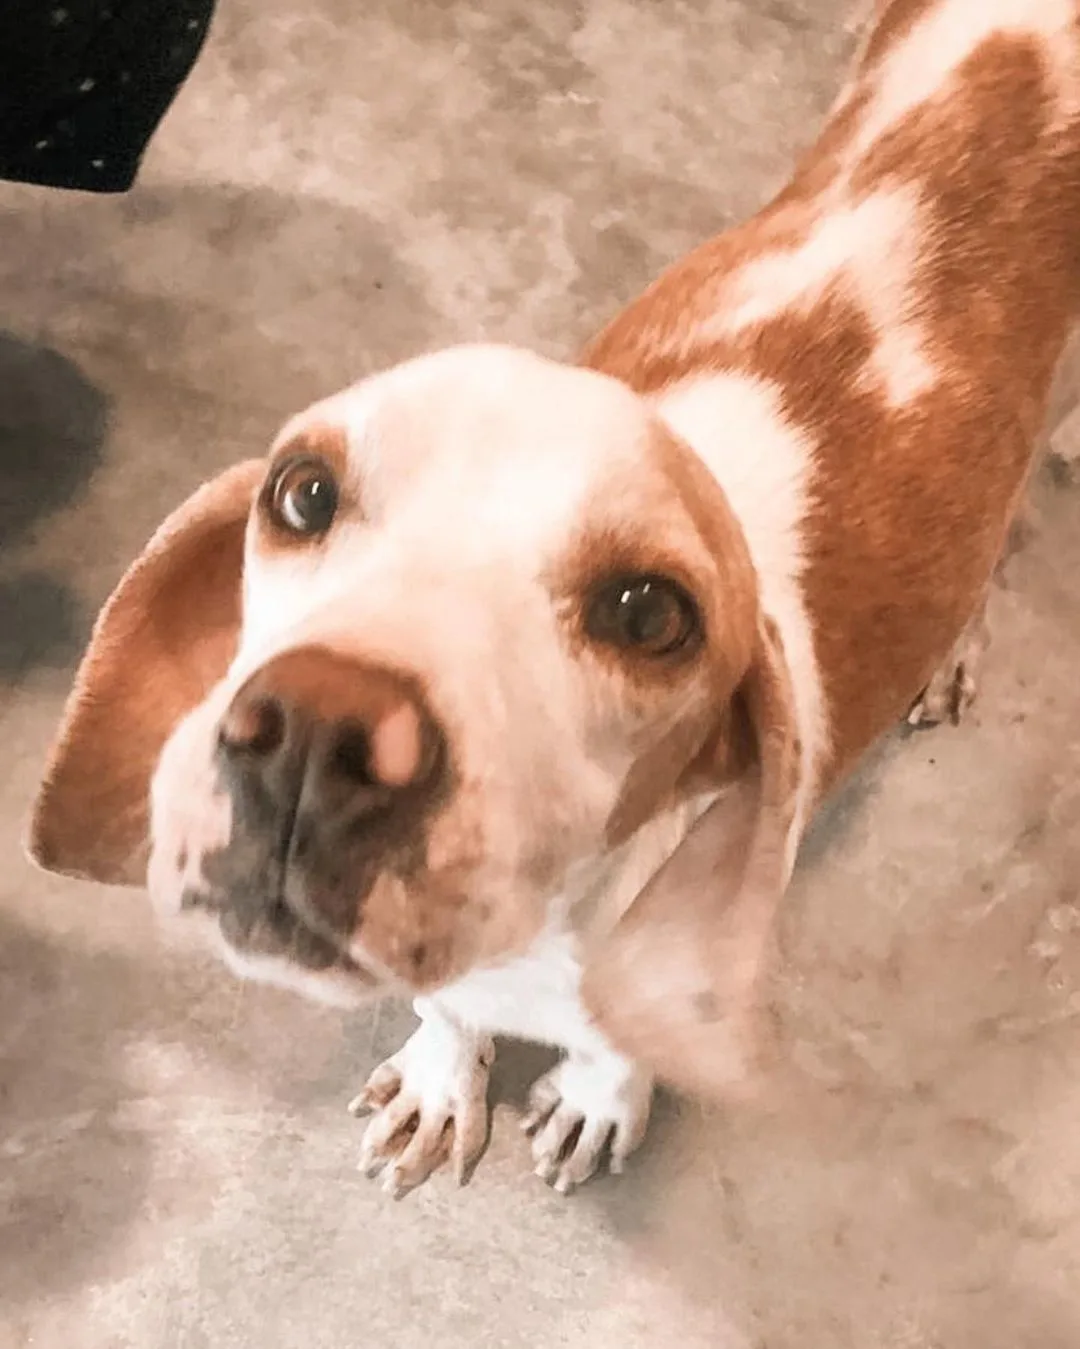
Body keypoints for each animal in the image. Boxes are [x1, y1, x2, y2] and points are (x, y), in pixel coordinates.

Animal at [23, 0, 1078, 1203]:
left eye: (652, 613)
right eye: (303, 489)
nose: (316, 734)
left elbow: (618, 1038)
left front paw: (596, 1095)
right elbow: (446, 1011)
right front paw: (443, 1078)